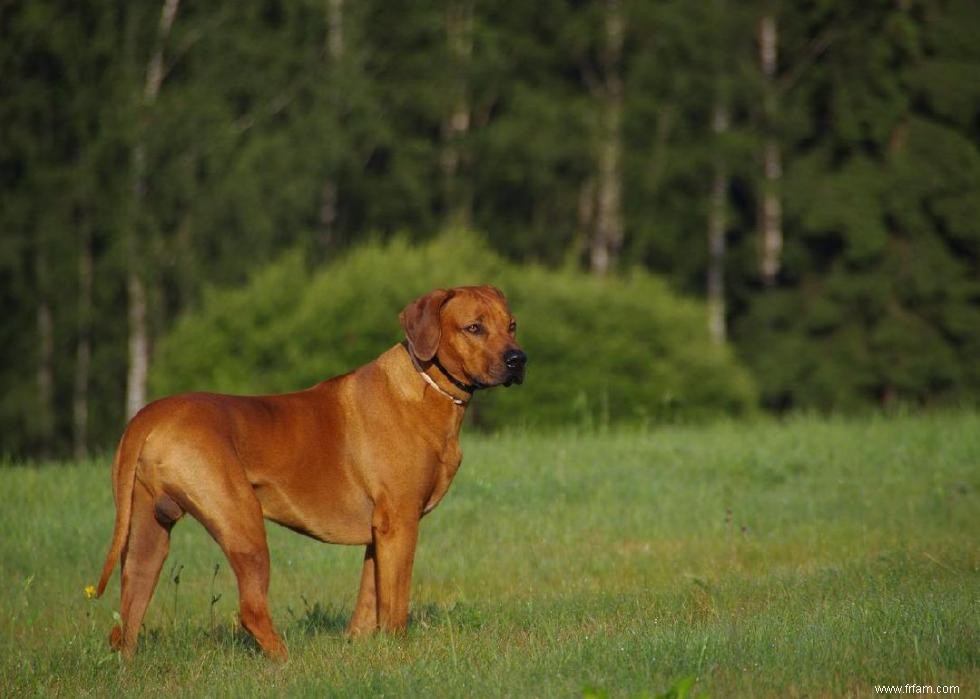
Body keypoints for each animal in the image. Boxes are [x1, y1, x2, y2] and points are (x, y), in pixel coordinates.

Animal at [95, 284, 524, 656]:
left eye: (512, 325)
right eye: (474, 327)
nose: (519, 360)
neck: (427, 387)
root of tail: (147, 416)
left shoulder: (380, 531)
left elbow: (370, 597)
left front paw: (360, 645)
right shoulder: (401, 521)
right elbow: (395, 602)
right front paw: (400, 650)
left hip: (147, 535)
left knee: (127, 618)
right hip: (243, 523)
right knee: (251, 610)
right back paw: (287, 661)